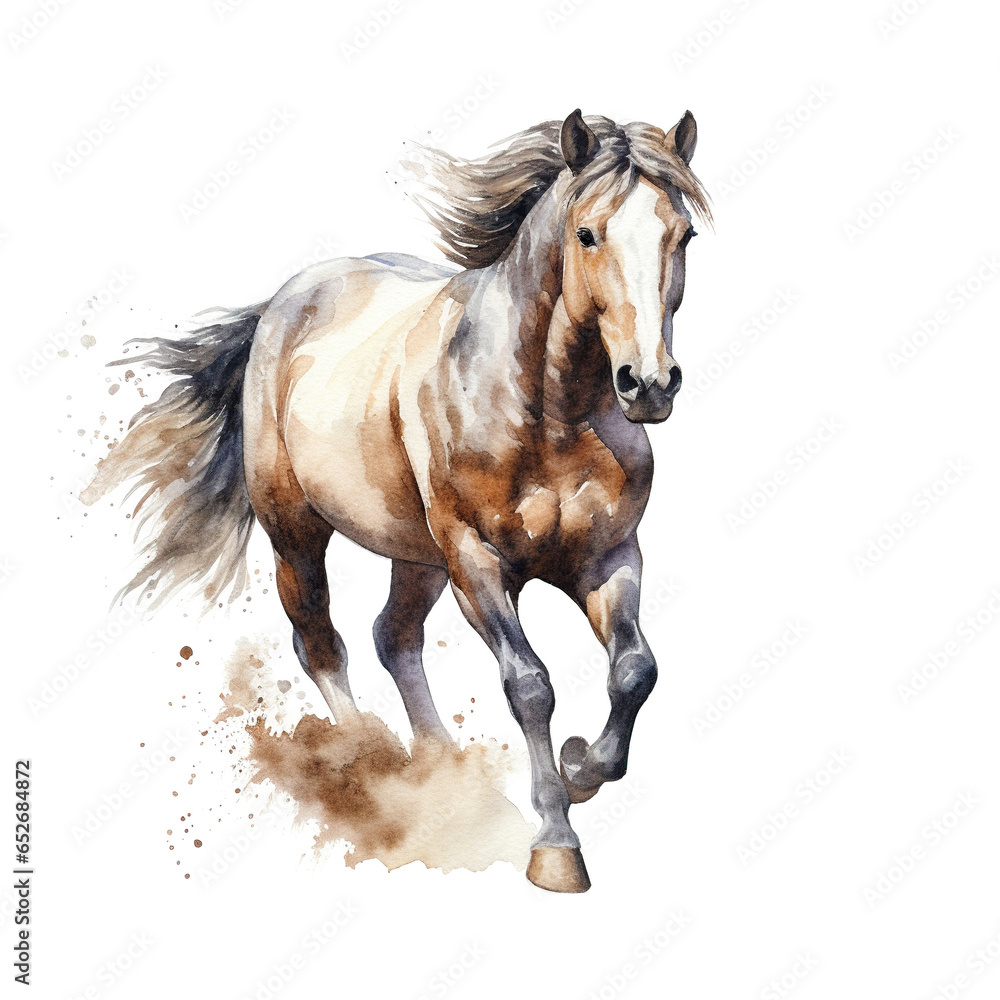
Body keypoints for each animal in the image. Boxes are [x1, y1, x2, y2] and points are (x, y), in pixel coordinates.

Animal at [82, 109, 710, 893]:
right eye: (587, 233)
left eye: (682, 235)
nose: (648, 384)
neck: (546, 414)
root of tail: (284, 302)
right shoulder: (477, 563)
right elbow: (530, 684)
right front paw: (556, 845)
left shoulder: (607, 557)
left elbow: (634, 671)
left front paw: (579, 769)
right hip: (298, 535)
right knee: (321, 641)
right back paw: (368, 769)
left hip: (417, 557)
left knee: (394, 636)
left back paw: (447, 783)